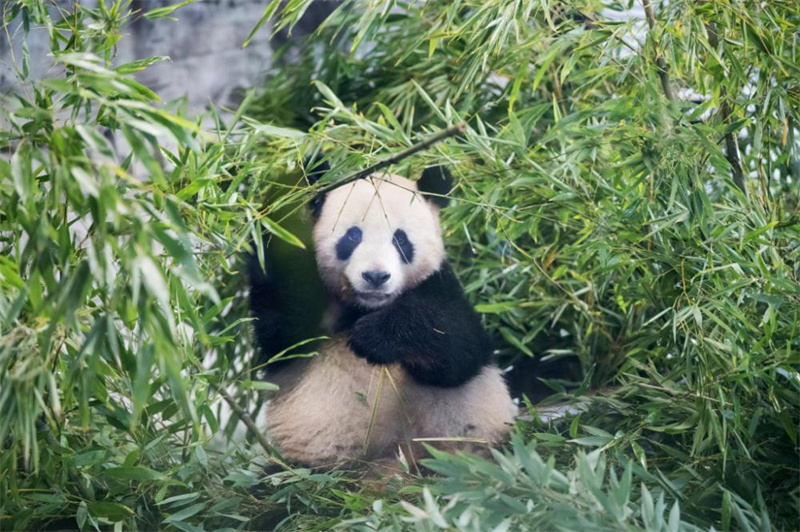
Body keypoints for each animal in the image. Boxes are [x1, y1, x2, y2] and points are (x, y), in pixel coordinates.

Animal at [247, 160, 516, 468]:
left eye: (400, 239)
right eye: (352, 236)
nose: (375, 277)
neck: (364, 307)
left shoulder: (440, 285)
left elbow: (458, 348)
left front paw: (373, 337)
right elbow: (285, 327)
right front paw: (287, 194)